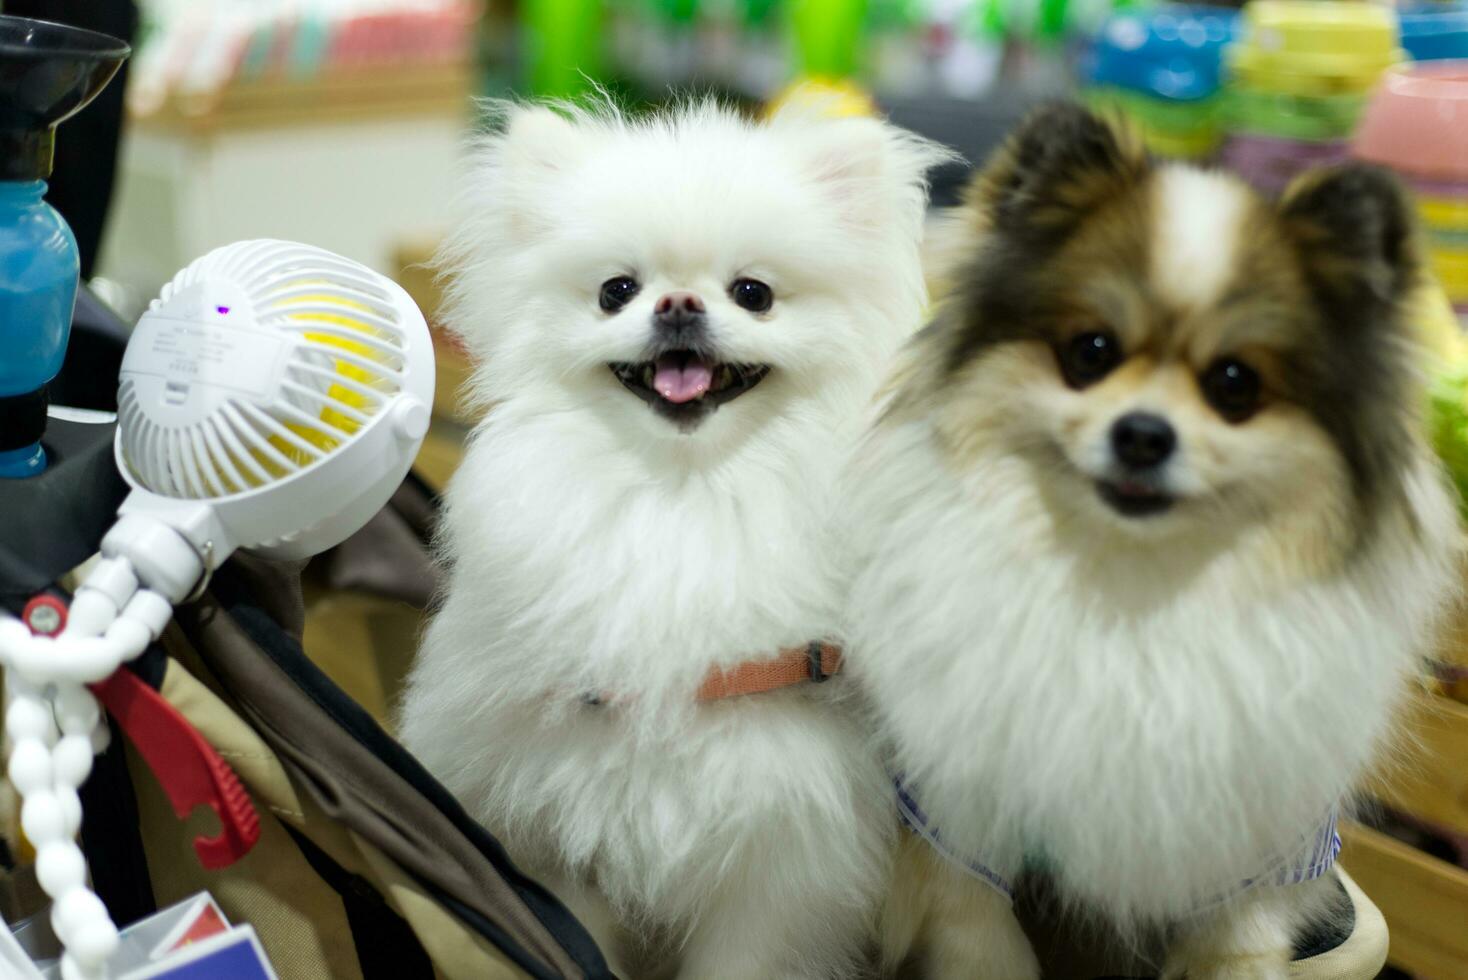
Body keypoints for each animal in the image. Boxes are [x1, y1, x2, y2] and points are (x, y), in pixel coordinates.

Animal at [396, 101, 945, 979]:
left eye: (754, 293)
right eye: (616, 291)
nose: (678, 303)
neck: (685, 493)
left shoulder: (776, 866)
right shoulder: (558, 826)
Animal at [845, 103, 1462, 974]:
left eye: (1235, 384)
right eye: (1090, 352)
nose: (1142, 434)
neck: (1132, 588)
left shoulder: (1261, 846)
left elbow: (1236, 948)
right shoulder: (956, 818)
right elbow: (981, 939)